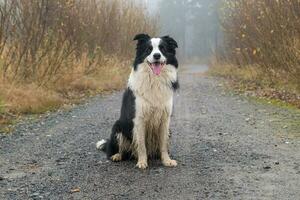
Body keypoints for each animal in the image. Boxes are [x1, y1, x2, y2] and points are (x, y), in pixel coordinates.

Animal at [97, 33, 179, 169]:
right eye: (149, 49)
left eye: (162, 49)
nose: (157, 56)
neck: (154, 80)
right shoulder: (139, 118)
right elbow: (141, 144)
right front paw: (142, 162)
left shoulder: (165, 119)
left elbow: (163, 143)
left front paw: (166, 160)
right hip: (118, 127)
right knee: (117, 150)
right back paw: (117, 156)